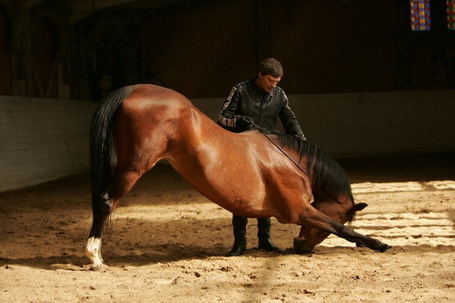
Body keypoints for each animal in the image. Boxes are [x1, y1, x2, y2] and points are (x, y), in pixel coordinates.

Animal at [86, 84, 392, 270]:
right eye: (342, 213)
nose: (300, 246)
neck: (291, 161)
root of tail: (134, 88)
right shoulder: (300, 211)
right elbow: (340, 229)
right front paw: (380, 243)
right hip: (134, 166)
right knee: (105, 201)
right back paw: (95, 256)